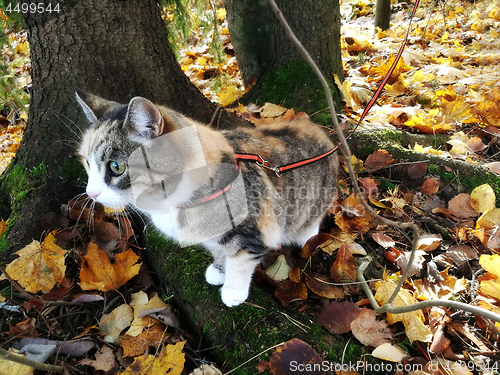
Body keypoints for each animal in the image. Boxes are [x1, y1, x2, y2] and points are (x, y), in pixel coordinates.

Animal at [75, 89, 340, 306]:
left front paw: (233, 291)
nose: (91, 193)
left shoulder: (255, 227)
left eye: (117, 167)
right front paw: (218, 270)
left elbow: (242, 259)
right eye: (87, 162)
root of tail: (323, 132)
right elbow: (219, 250)